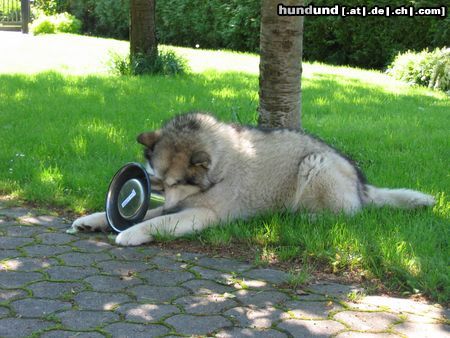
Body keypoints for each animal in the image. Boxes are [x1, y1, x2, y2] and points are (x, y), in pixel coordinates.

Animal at [71, 113, 436, 246]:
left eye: (177, 182)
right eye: (157, 182)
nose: (170, 199)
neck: (221, 167)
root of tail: (361, 183)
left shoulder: (203, 213)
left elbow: (155, 221)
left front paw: (131, 232)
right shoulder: (176, 205)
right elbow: (152, 212)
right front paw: (95, 219)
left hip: (316, 165)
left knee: (347, 214)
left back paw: (305, 217)